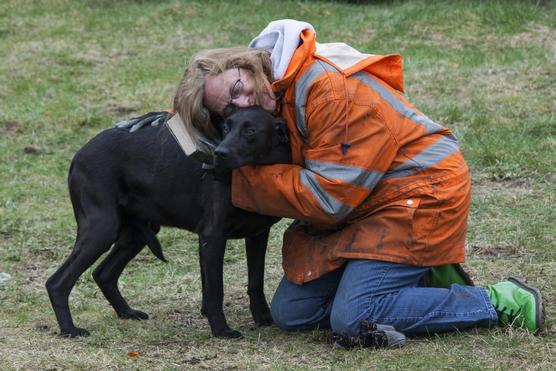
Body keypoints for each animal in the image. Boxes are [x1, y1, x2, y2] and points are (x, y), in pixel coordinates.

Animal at [44, 107, 292, 340]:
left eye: (250, 131)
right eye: (225, 128)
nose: (218, 154)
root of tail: (78, 155)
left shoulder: (257, 234)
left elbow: (255, 281)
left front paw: (263, 318)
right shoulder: (212, 237)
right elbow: (215, 290)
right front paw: (221, 330)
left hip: (135, 234)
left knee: (103, 274)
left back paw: (126, 313)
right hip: (102, 229)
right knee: (57, 283)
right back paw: (69, 329)